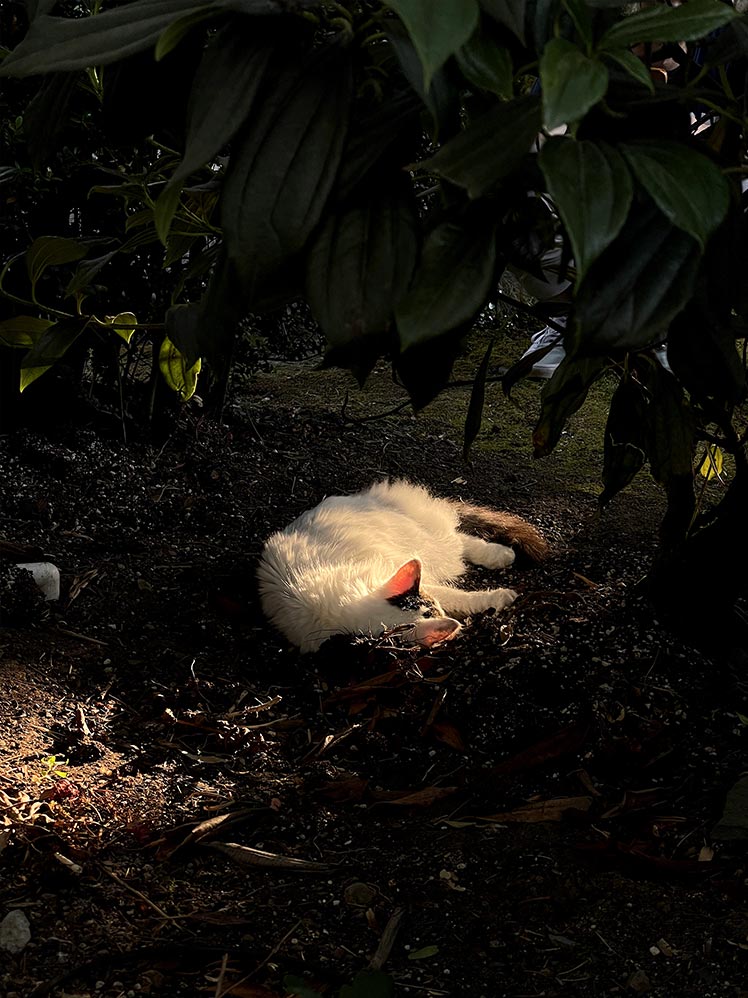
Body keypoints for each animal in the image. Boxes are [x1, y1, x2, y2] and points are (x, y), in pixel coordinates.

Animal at [258, 478, 548, 656]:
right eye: (437, 610)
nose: (447, 617)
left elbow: (461, 596)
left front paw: (501, 595)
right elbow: (463, 598)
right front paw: (498, 598)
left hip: (428, 540)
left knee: (462, 540)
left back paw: (502, 555)